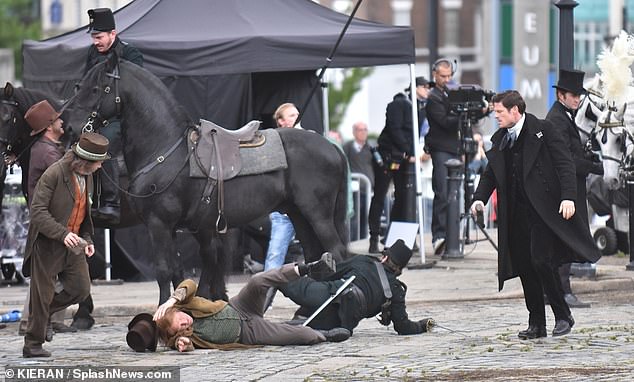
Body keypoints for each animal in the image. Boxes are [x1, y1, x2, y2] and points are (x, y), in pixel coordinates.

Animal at [66, 55, 348, 302]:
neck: (166, 148)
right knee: (314, 255)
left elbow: (164, 270)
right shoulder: (179, 227)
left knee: (335, 253)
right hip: (297, 213)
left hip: (317, 214)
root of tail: (331, 147)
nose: (68, 125)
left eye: (95, 89)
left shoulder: (159, 224)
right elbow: (180, 271)